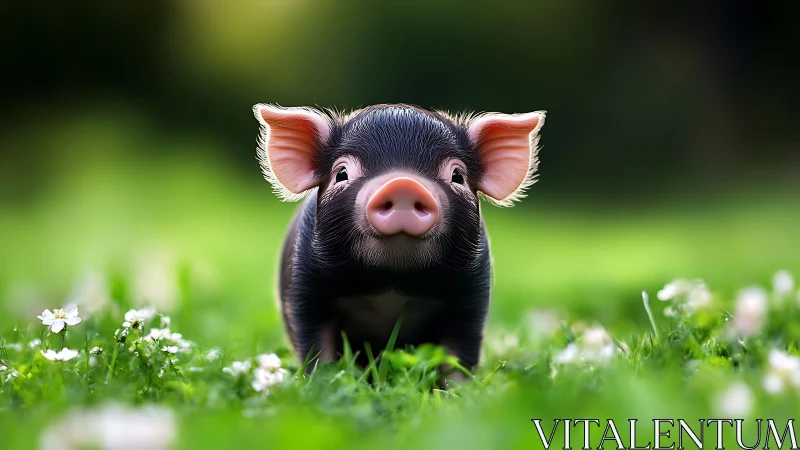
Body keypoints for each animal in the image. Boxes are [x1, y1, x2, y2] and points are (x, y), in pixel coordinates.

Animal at [253, 103, 546, 380]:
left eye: (458, 176)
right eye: (341, 174)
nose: (403, 184)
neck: (392, 286)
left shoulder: (473, 293)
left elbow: (459, 356)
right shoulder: (304, 287)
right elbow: (315, 348)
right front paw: (320, 384)